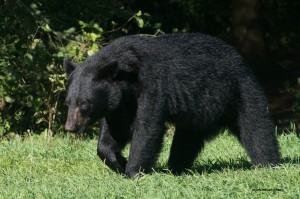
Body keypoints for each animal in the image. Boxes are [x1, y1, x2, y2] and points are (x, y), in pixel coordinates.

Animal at [63, 33, 282, 178]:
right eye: (68, 102)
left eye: (84, 103)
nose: (70, 127)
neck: (128, 75)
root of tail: (240, 56)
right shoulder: (120, 103)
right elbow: (114, 132)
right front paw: (118, 161)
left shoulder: (152, 86)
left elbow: (147, 129)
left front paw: (133, 171)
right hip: (197, 116)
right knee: (185, 142)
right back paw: (176, 168)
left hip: (239, 90)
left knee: (256, 128)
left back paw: (269, 163)